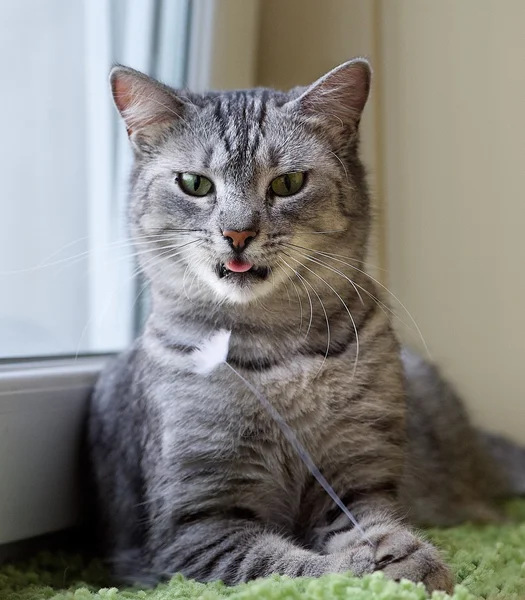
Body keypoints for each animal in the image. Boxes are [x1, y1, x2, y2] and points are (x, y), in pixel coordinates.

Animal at [87, 58, 524, 592]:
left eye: (288, 183)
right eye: (195, 183)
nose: (237, 233)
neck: (275, 350)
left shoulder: (358, 478)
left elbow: (374, 523)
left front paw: (401, 555)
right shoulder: (195, 528)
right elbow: (286, 565)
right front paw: (369, 572)